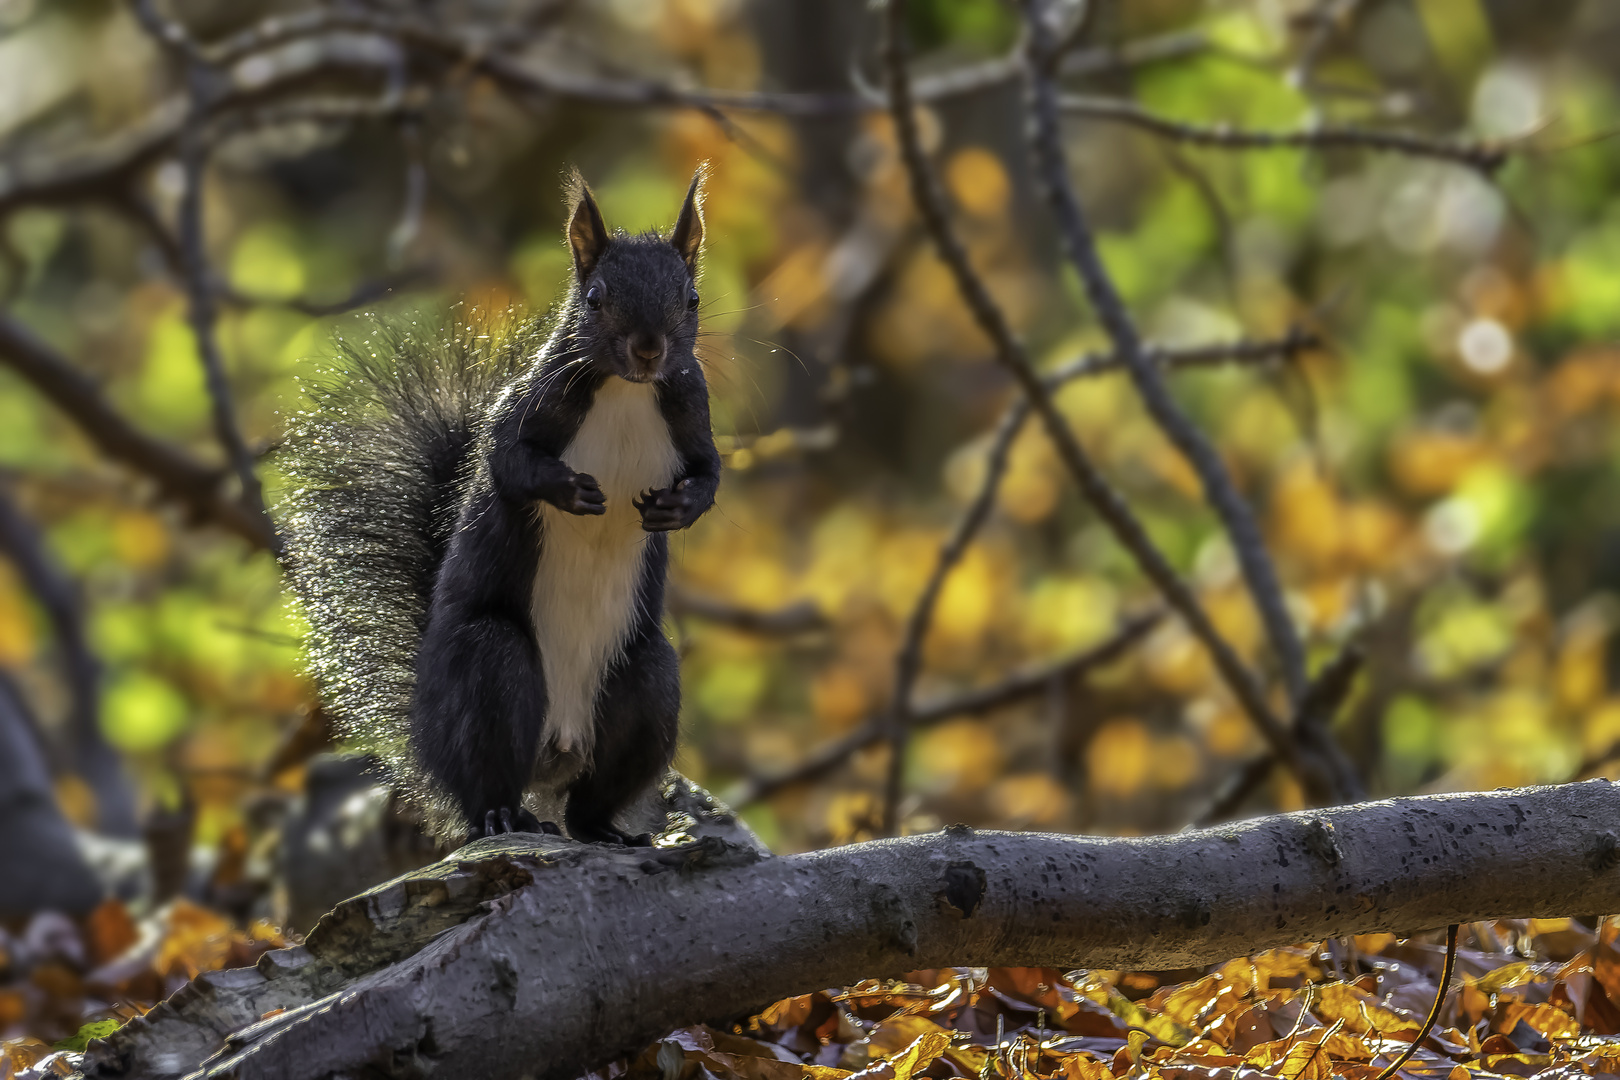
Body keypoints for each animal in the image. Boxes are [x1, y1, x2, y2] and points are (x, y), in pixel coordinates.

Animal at [281, 169, 719, 841]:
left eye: (691, 299)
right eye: (594, 297)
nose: (649, 350)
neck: (625, 391)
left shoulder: (693, 411)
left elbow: (710, 474)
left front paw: (677, 509)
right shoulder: (527, 408)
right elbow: (507, 461)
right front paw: (572, 491)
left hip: (646, 682)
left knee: (592, 797)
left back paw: (605, 830)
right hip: (490, 670)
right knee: (487, 778)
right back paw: (503, 815)